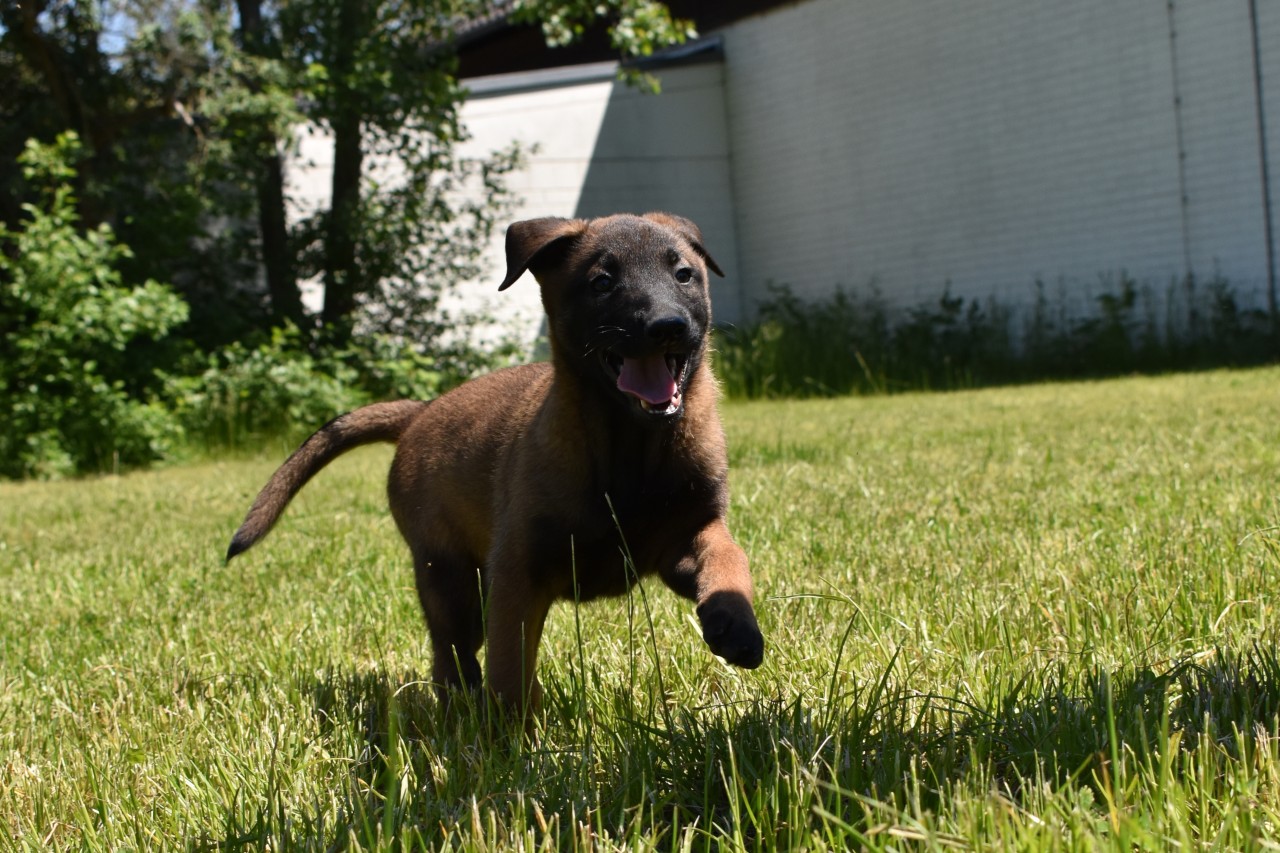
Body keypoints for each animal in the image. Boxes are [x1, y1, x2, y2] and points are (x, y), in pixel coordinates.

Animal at [225, 211, 762, 701]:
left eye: (684, 274)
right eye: (603, 282)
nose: (666, 326)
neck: (630, 448)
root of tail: (421, 410)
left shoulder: (687, 533)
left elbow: (727, 556)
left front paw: (735, 624)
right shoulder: (517, 575)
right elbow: (510, 671)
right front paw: (511, 741)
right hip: (449, 578)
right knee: (452, 655)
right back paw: (460, 709)